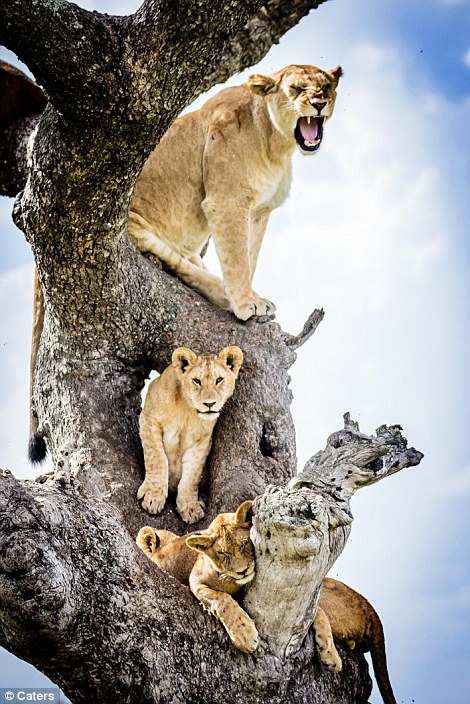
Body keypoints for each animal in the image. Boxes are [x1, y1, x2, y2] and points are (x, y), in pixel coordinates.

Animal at [128, 63, 342, 321]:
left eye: (326, 87)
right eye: (296, 88)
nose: (319, 104)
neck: (276, 145)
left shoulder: (260, 210)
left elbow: (249, 257)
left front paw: (250, 296)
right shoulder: (227, 202)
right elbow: (237, 258)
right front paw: (245, 302)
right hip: (134, 224)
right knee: (176, 261)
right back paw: (222, 293)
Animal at [136, 500, 258, 653]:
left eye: (245, 543)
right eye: (223, 553)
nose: (242, 571)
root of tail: (155, 554)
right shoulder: (195, 580)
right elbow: (222, 600)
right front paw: (245, 635)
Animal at [138, 345, 243, 523]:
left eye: (219, 380)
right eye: (197, 381)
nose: (209, 404)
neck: (187, 410)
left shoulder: (202, 441)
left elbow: (192, 475)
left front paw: (190, 507)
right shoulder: (148, 419)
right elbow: (156, 458)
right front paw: (153, 496)